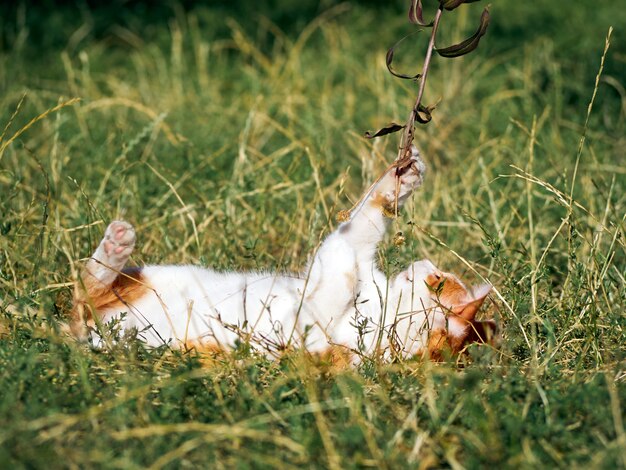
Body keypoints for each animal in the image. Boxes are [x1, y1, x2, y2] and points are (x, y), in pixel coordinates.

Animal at [70, 146, 494, 360]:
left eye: (438, 280)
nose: (425, 263)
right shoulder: (360, 252)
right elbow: (365, 224)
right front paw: (402, 177)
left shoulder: (298, 332)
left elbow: (338, 266)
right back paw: (116, 245)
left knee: (87, 294)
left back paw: (116, 244)